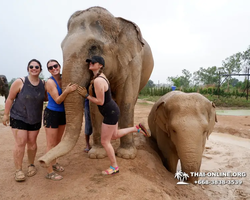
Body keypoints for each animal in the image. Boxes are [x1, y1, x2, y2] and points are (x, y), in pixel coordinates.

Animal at [38, 6, 153, 166]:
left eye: (93, 47)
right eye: (61, 47)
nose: (41, 161)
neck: (117, 24)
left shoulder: (134, 63)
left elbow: (126, 100)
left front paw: (127, 155)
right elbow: (95, 105)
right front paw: (97, 154)